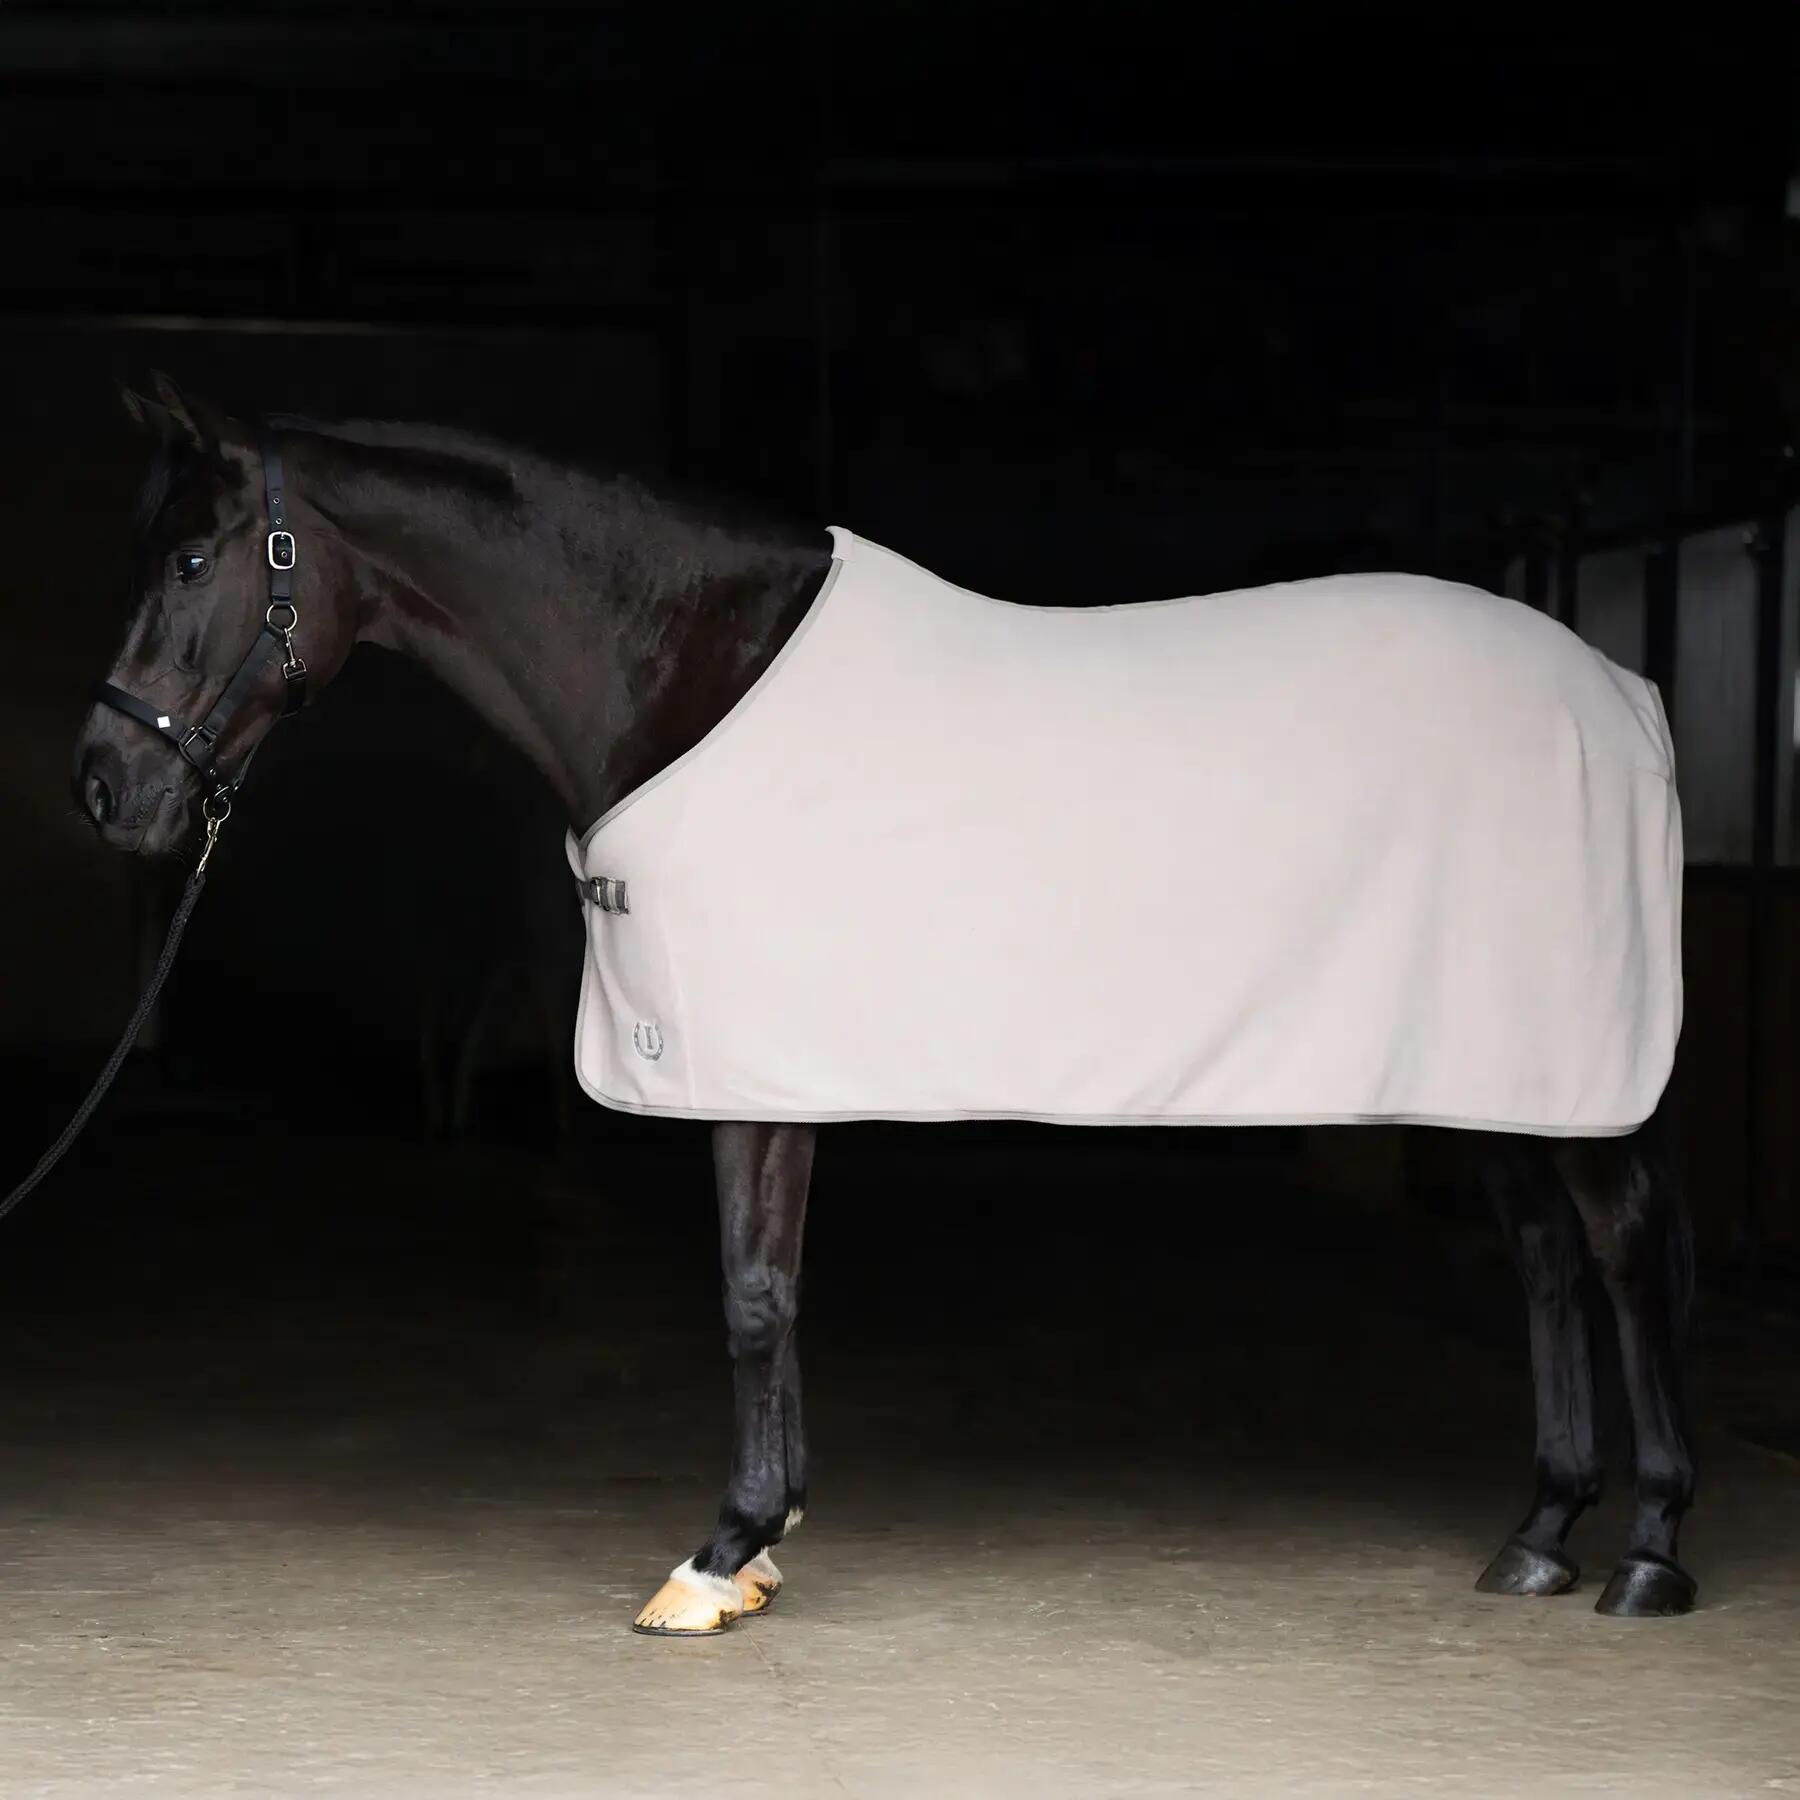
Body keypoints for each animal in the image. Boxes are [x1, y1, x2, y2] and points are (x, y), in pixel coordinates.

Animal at [70, 375, 1699, 1631]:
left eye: (196, 560)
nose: (108, 787)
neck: (690, 669)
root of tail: (1621, 693)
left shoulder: (746, 1069)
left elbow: (749, 1293)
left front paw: (720, 1552)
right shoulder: (771, 1071)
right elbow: (775, 1291)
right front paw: (769, 1539)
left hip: (1567, 1059)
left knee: (1621, 1248)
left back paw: (1650, 1551)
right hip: (1482, 1059)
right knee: (1543, 1255)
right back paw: (1541, 1533)